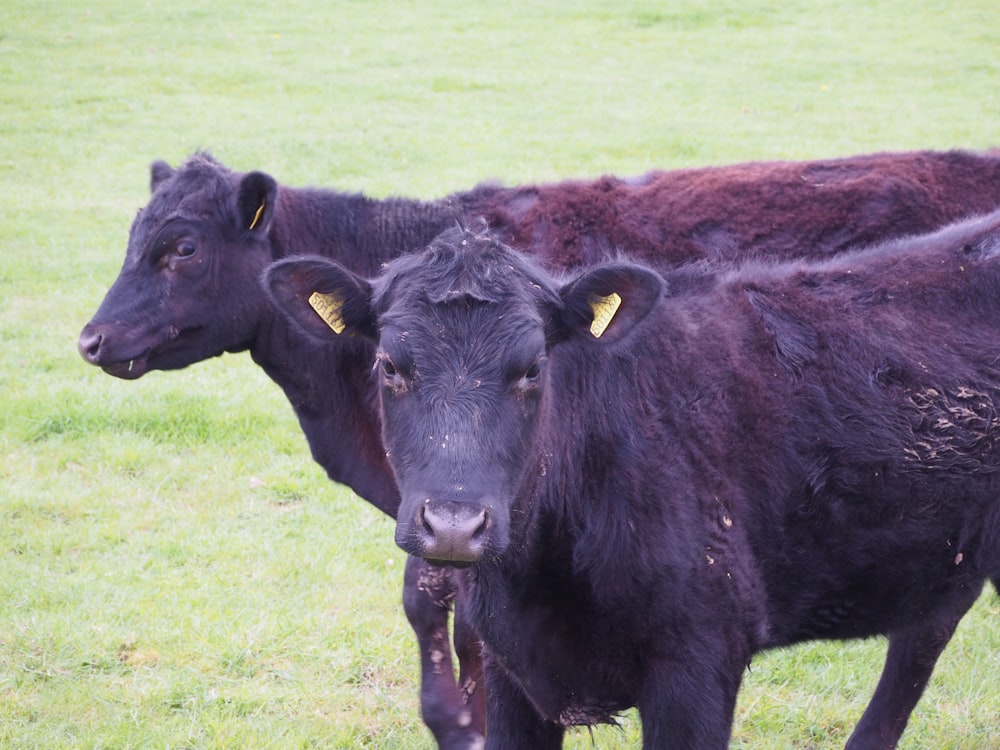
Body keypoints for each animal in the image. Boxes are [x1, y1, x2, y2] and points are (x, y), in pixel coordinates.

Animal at [80, 153, 1000, 750]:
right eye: (131, 236)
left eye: (182, 248)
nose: (91, 339)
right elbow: (437, 604)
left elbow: (436, 606)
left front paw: (458, 723)